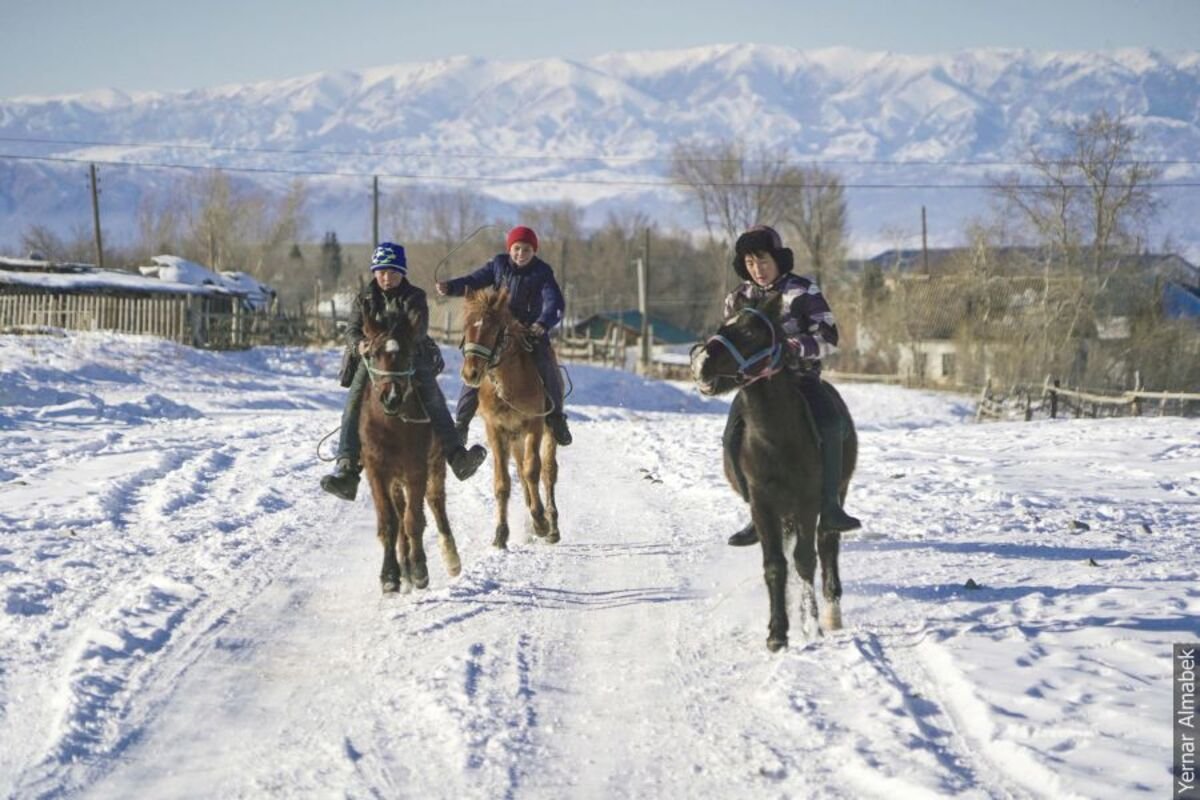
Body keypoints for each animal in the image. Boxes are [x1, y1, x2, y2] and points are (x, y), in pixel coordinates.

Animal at [357, 309, 460, 592]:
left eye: (409, 353)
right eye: (374, 353)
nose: (391, 396)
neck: (392, 426)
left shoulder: (417, 470)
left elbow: (414, 520)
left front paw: (420, 570)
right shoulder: (377, 472)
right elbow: (390, 522)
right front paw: (390, 575)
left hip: (434, 467)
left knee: (436, 504)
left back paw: (450, 558)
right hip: (395, 480)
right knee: (399, 513)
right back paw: (403, 566)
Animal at [458, 289, 561, 551]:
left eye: (493, 328)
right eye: (466, 326)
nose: (471, 373)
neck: (508, 382)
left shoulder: (534, 424)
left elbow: (533, 470)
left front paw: (541, 522)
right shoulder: (496, 430)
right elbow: (503, 483)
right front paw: (501, 534)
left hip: (547, 433)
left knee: (547, 472)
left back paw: (551, 525)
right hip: (515, 440)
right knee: (522, 475)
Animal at [686, 293, 864, 652]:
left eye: (750, 332)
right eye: (723, 324)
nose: (699, 362)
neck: (775, 438)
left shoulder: (808, 501)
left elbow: (805, 559)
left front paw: (810, 625)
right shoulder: (763, 504)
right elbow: (775, 565)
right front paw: (778, 632)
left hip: (835, 494)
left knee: (827, 542)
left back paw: (830, 612)